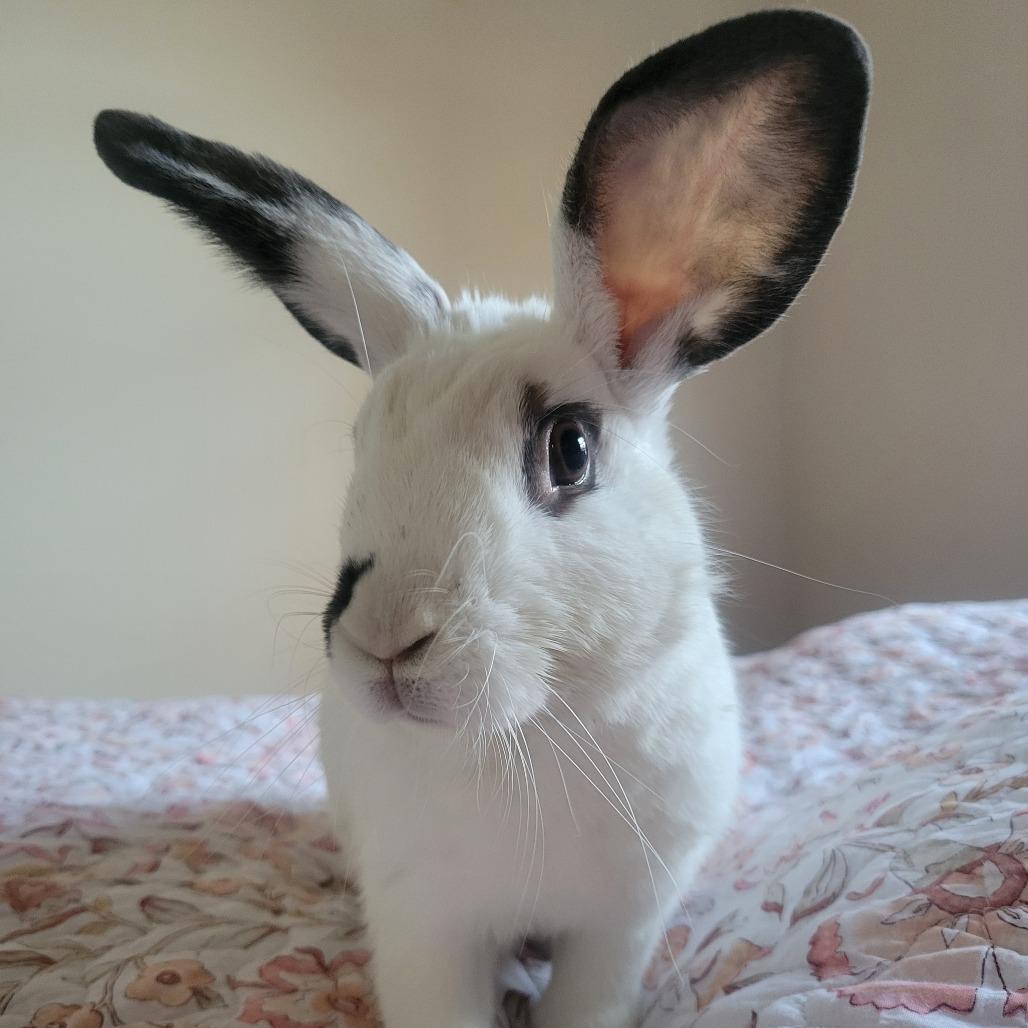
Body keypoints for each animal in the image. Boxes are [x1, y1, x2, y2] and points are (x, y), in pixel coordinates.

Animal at [94, 9, 869, 1027]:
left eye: (569, 449)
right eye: (362, 440)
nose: (386, 640)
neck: (526, 740)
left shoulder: (619, 928)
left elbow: (587, 1004)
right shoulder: (426, 929)